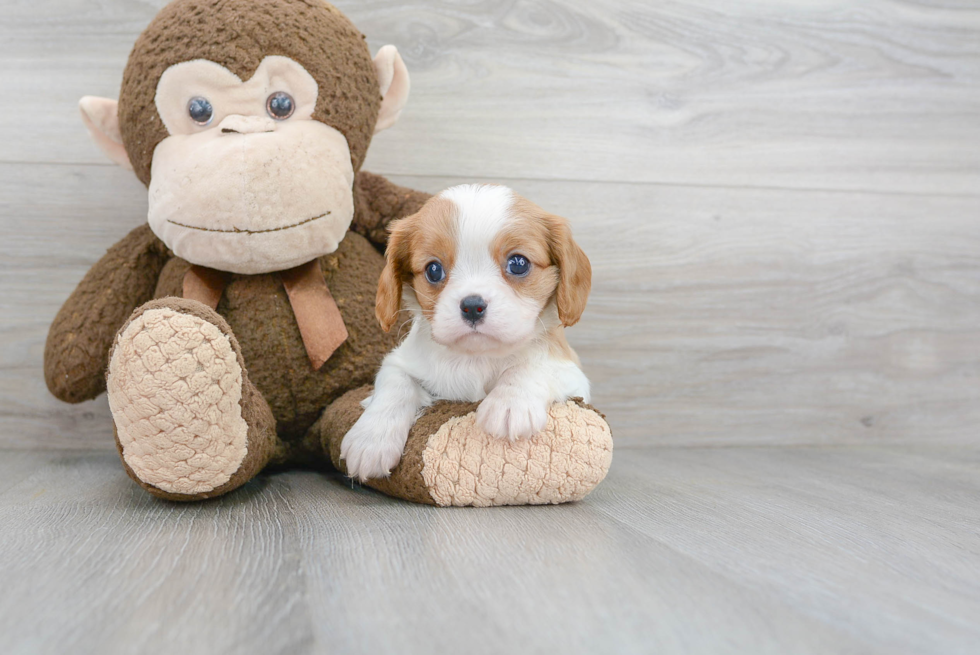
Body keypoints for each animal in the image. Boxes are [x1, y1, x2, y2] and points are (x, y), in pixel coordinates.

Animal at [340, 184, 592, 482]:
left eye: (518, 264)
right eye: (433, 270)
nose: (473, 306)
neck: (475, 357)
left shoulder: (573, 375)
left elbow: (533, 366)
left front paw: (509, 403)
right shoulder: (399, 362)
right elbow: (394, 384)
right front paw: (370, 439)